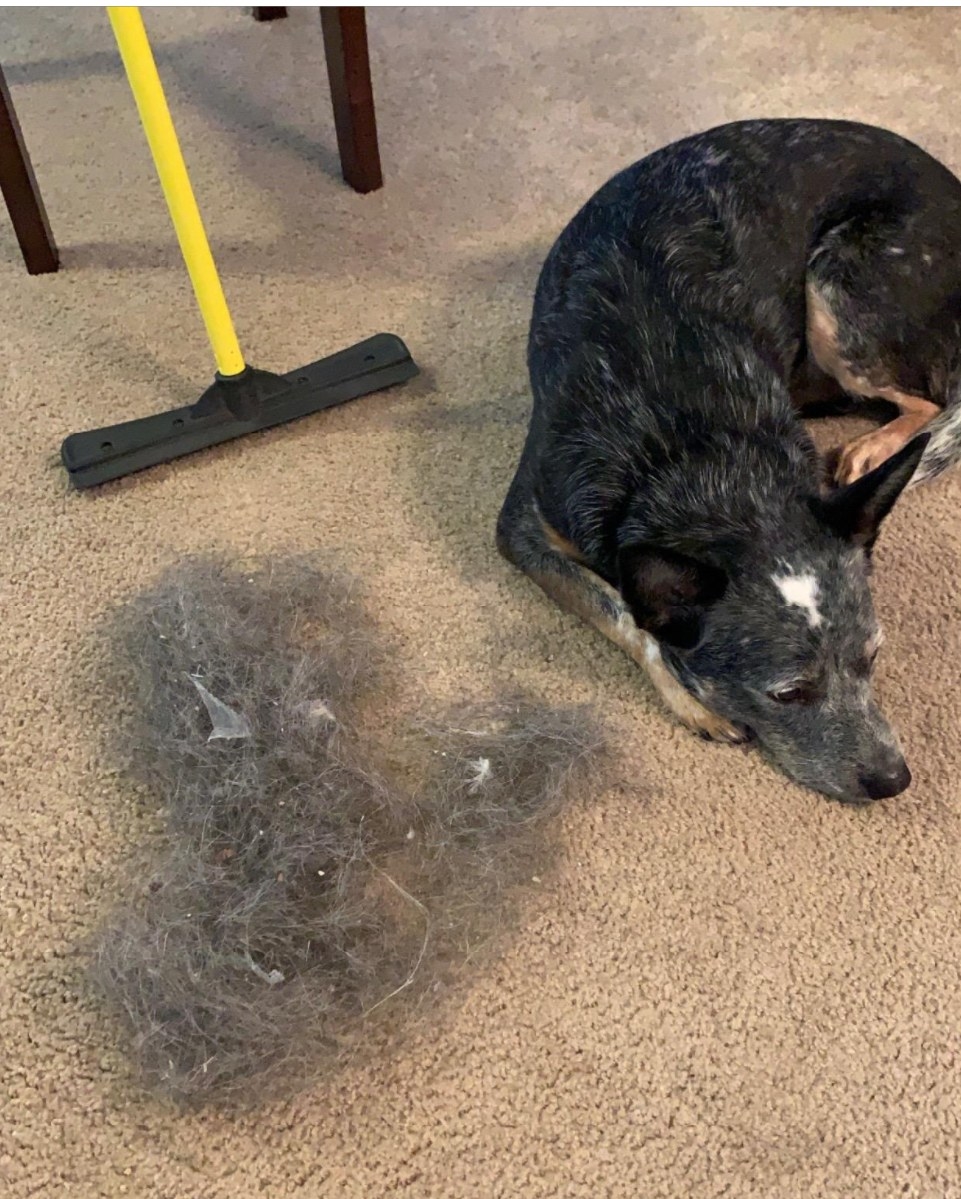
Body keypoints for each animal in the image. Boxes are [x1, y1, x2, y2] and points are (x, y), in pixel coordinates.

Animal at [493, 116, 958, 800]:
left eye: (873, 657)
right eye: (790, 694)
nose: (894, 780)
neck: (695, 448)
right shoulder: (526, 528)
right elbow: (623, 611)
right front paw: (693, 699)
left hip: (836, 291)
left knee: (927, 399)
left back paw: (873, 444)